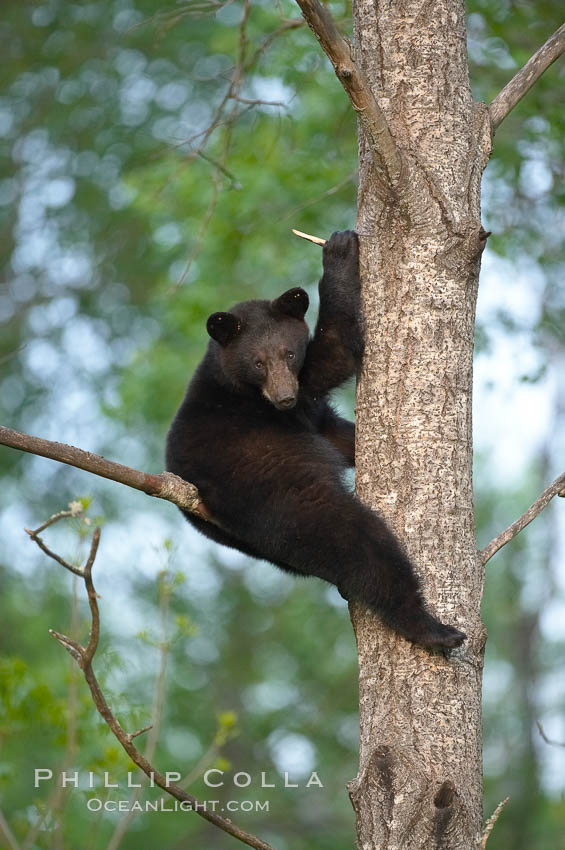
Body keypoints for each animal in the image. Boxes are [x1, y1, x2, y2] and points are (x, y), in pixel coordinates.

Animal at [165, 229, 464, 644]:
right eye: (258, 362)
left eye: (288, 353)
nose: (283, 397)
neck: (237, 385)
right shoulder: (290, 402)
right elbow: (335, 350)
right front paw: (339, 251)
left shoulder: (307, 412)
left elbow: (336, 433)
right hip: (281, 495)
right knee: (357, 543)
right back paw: (430, 628)